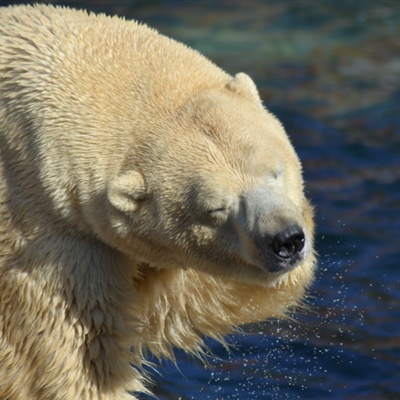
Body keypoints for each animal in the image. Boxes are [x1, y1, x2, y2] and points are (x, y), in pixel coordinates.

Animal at [0, 3, 316, 400]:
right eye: (217, 210)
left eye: (275, 171)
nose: (286, 239)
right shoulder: (48, 238)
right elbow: (80, 352)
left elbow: (186, 299)